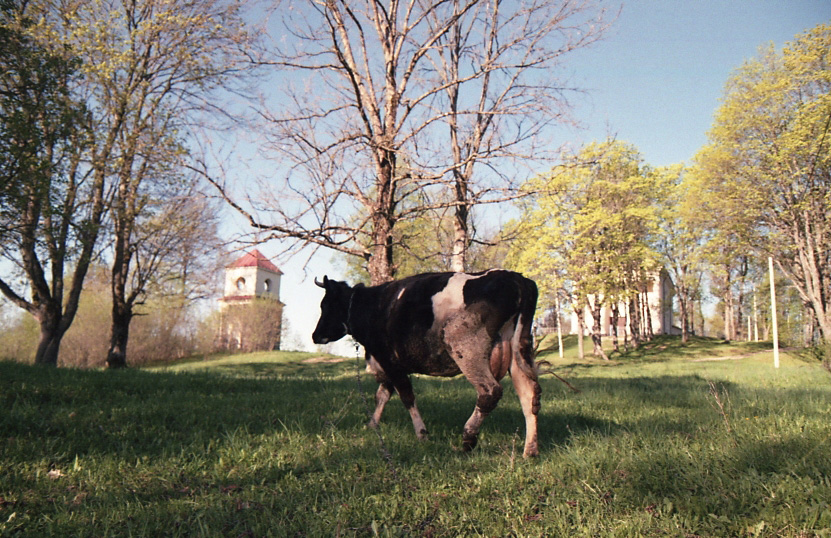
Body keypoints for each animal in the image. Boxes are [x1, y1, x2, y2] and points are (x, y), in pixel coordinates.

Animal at [310, 268, 540, 456]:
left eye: (325, 305)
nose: (315, 335)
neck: (373, 307)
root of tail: (516, 278)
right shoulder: (388, 365)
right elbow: (382, 395)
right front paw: (372, 424)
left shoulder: (389, 361)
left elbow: (406, 396)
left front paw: (421, 434)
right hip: (519, 350)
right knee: (530, 395)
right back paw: (530, 451)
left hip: (465, 346)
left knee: (490, 392)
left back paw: (468, 437)